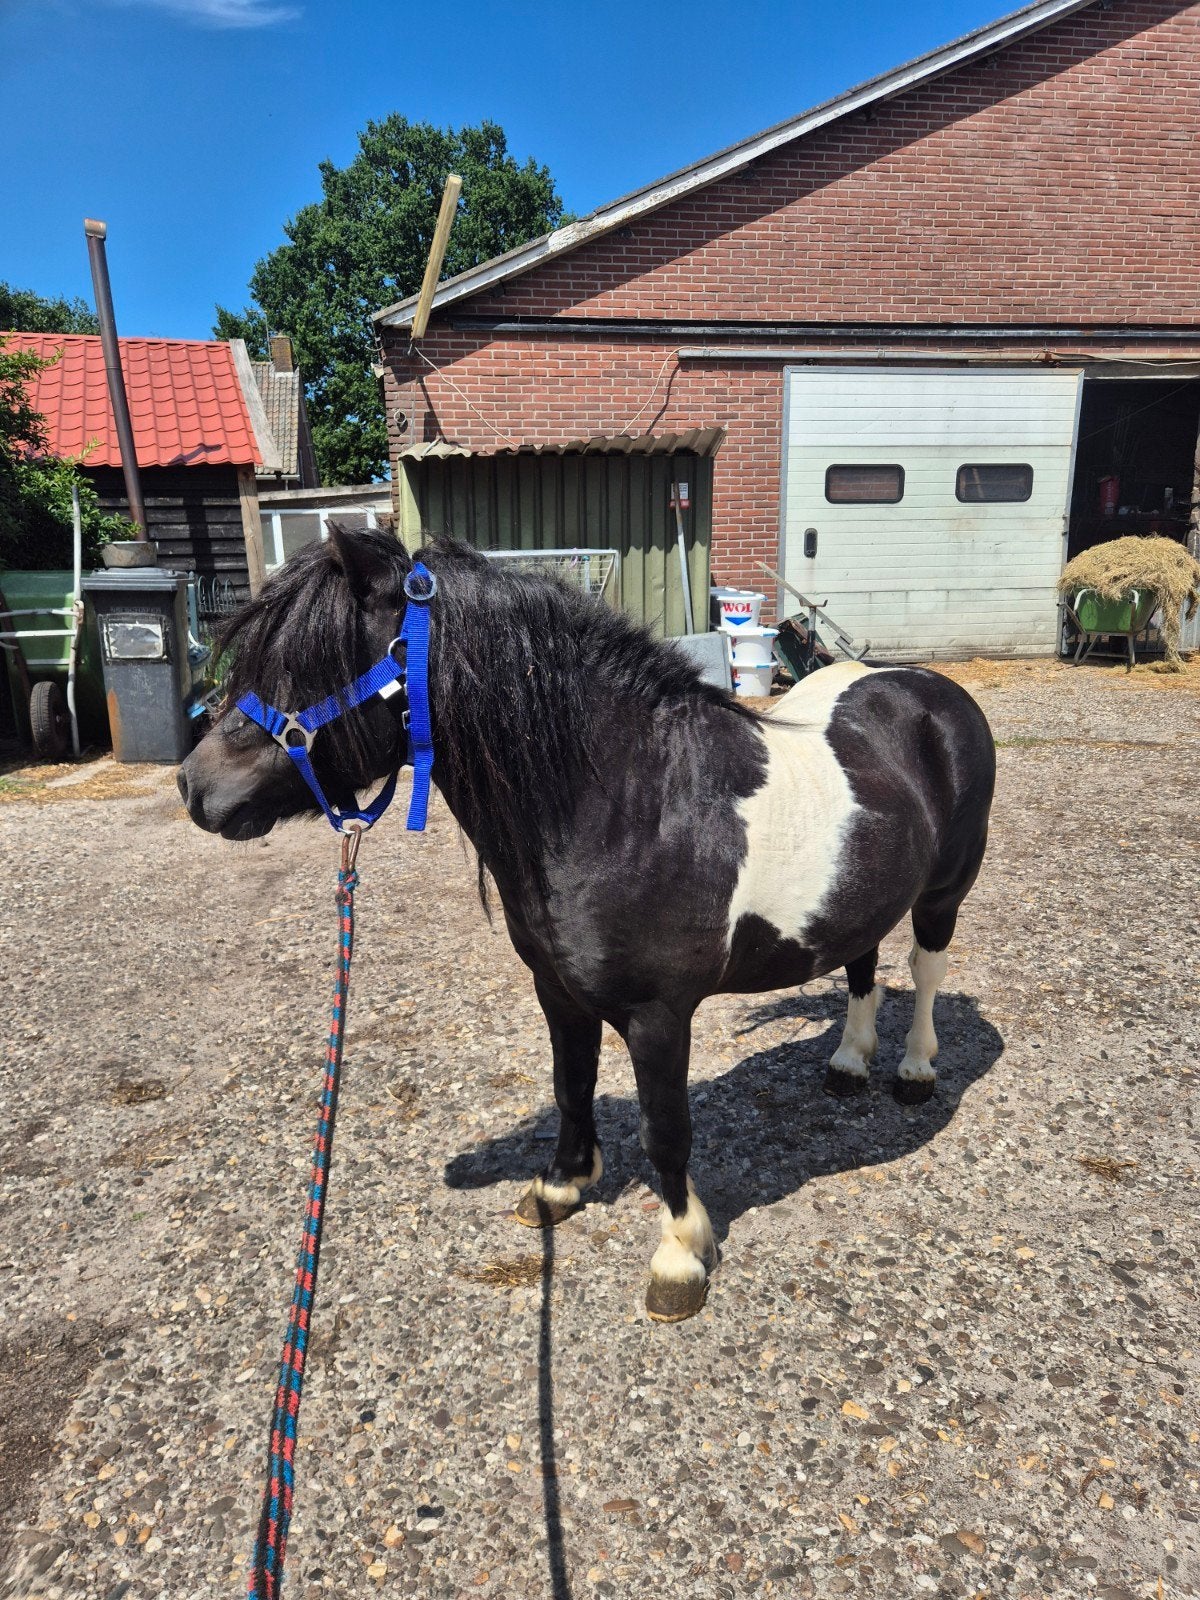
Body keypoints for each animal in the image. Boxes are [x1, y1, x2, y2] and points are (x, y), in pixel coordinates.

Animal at [178, 528, 996, 1323]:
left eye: (310, 662)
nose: (194, 785)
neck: (633, 803)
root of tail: (929, 689)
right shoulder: (558, 990)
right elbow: (571, 1084)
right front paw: (561, 1187)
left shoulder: (659, 1015)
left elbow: (665, 1128)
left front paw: (680, 1256)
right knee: (862, 967)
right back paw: (849, 1065)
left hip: (944, 893)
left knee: (925, 970)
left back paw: (914, 1072)